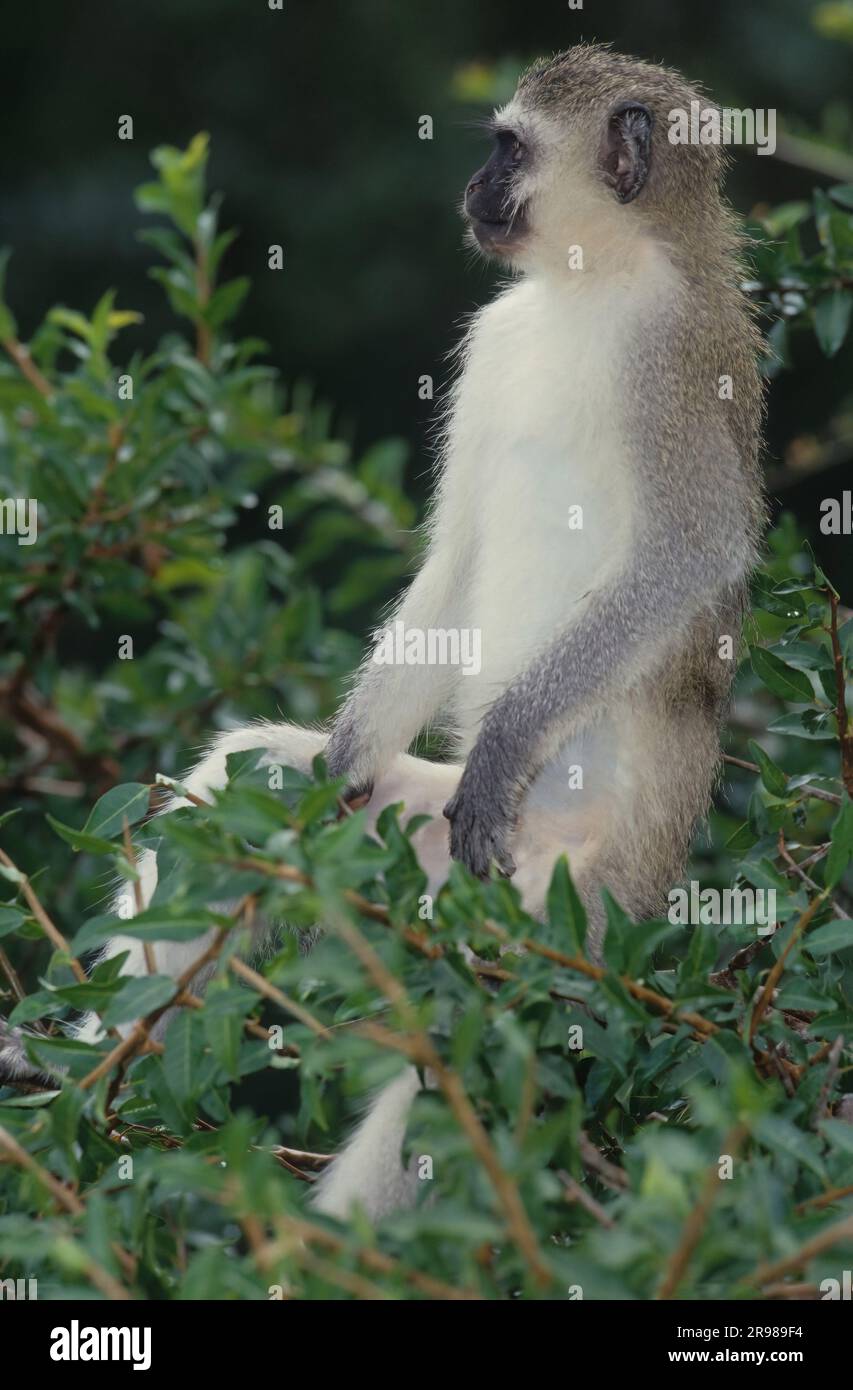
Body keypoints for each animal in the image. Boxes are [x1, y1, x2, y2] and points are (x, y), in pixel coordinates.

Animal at [1, 40, 766, 1217]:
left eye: (508, 149)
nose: (471, 190)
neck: (590, 280)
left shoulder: (673, 357)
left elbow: (693, 551)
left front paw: (503, 744)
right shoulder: (496, 336)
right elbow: (451, 560)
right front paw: (338, 764)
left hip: (574, 922)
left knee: (474, 1046)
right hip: (421, 855)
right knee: (249, 791)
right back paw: (75, 1076)